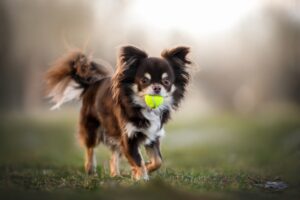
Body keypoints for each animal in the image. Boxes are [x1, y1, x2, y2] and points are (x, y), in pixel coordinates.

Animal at [45, 45, 190, 181]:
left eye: (166, 82)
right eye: (144, 81)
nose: (157, 87)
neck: (145, 108)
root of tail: (91, 84)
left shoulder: (153, 136)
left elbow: (158, 161)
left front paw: (140, 171)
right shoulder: (129, 137)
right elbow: (138, 160)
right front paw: (142, 178)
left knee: (113, 155)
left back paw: (115, 174)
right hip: (92, 129)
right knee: (90, 149)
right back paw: (90, 169)